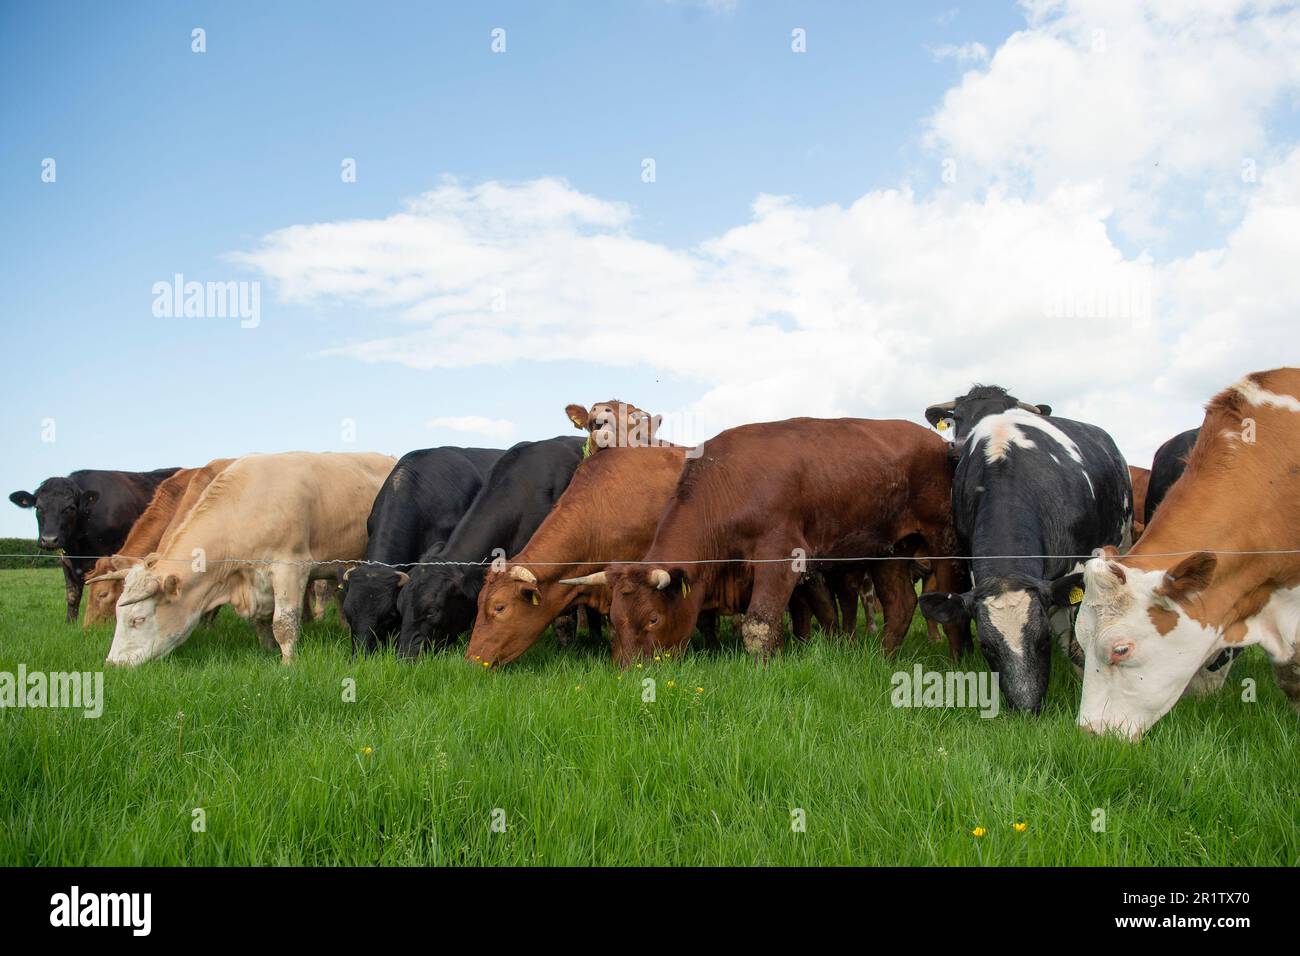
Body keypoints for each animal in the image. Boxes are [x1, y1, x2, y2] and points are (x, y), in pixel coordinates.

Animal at [9, 467, 180, 622]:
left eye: (70, 508)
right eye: (38, 508)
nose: (49, 539)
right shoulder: (66, 560)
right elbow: (72, 594)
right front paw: (70, 623)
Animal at [103, 452, 395, 666]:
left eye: (138, 620)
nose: (113, 664)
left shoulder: (290, 568)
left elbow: (283, 623)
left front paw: (287, 663)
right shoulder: (256, 581)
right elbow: (262, 622)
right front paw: (267, 651)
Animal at [601, 418, 967, 667]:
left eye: (653, 619)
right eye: (613, 619)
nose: (629, 672)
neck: (725, 486)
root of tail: (937, 442)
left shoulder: (783, 556)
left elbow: (759, 625)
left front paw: (761, 671)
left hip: (943, 539)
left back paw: (956, 661)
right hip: (889, 549)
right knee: (901, 604)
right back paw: (884, 658)